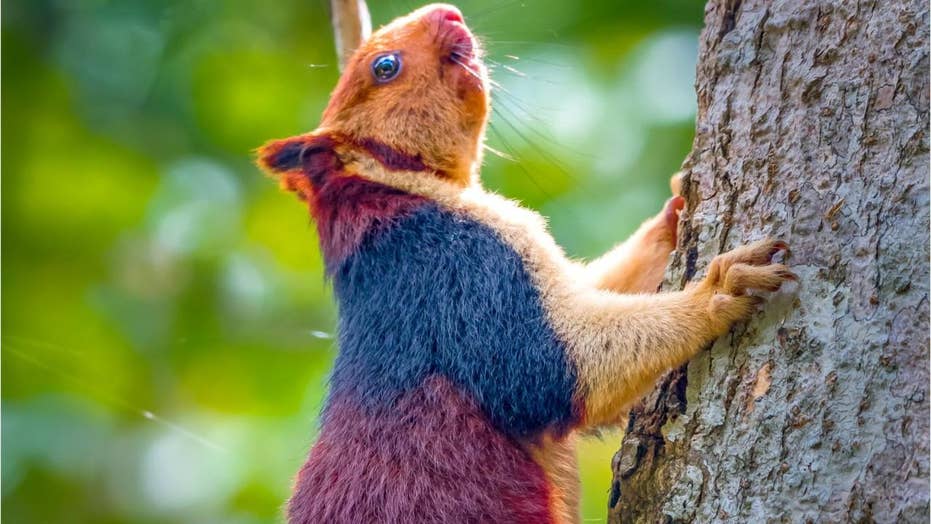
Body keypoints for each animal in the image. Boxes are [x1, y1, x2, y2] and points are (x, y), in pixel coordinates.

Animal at [258, 5, 796, 524]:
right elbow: (548, 370)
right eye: (384, 66)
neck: (393, 186)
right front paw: (719, 289)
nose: (449, 13)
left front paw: (673, 209)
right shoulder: (456, 267)